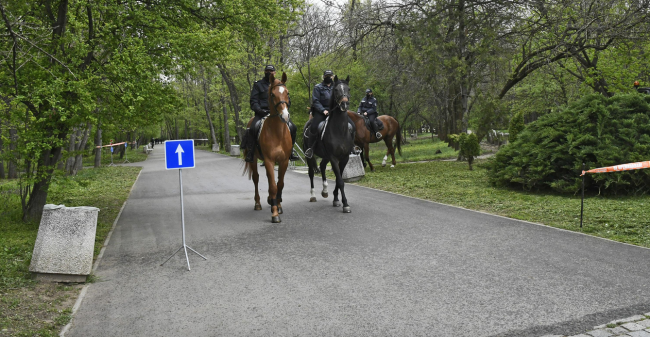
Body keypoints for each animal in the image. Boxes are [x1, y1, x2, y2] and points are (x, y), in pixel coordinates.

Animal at [240, 72, 292, 222]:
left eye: (287, 92)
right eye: (273, 94)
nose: (285, 115)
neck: (277, 133)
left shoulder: (284, 161)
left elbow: (279, 184)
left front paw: (278, 206)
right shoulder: (269, 160)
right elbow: (274, 186)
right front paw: (274, 214)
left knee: (270, 180)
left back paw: (271, 200)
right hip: (253, 159)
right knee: (256, 178)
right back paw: (258, 203)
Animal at [302, 75, 354, 213]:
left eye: (348, 89)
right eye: (336, 90)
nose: (344, 104)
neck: (340, 130)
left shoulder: (344, 158)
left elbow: (338, 179)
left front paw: (336, 199)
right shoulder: (334, 158)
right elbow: (340, 181)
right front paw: (345, 204)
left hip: (325, 156)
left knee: (322, 166)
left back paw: (325, 191)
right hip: (310, 156)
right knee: (311, 173)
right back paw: (313, 195)